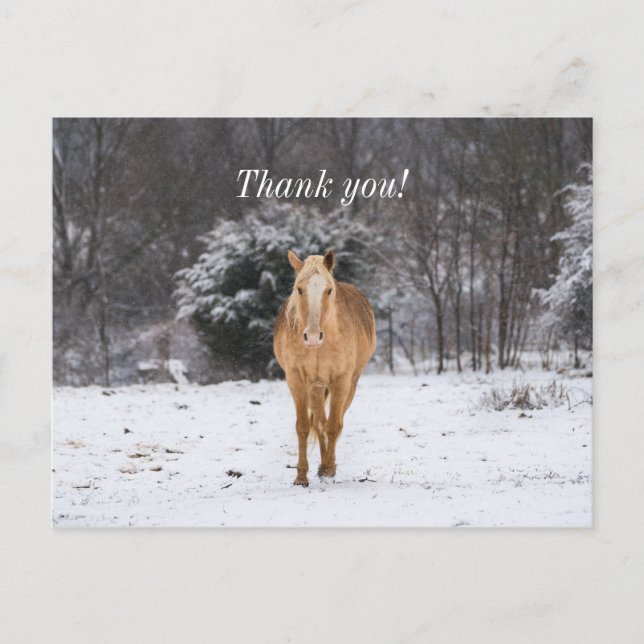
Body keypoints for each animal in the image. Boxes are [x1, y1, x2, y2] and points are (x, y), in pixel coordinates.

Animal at [273, 249, 376, 486]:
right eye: (299, 289)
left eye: (329, 290)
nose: (312, 337)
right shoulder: (296, 380)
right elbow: (304, 426)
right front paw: (301, 476)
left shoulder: (341, 380)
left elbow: (334, 425)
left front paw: (329, 469)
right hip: (316, 387)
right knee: (319, 421)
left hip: (350, 383)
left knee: (335, 422)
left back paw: (327, 466)